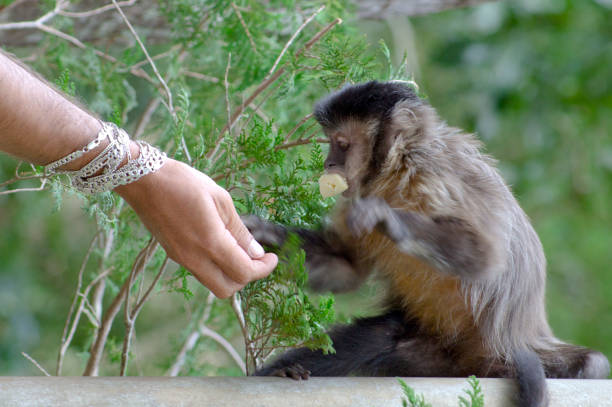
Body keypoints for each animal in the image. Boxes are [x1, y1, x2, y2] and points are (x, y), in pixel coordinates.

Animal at [241, 81, 608, 406]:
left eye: (341, 144)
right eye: (331, 143)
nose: (329, 163)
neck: (393, 176)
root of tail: (475, 362)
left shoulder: (432, 173)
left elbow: (486, 258)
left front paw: (386, 218)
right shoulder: (355, 195)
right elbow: (346, 268)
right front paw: (264, 235)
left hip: (501, 353)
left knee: (593, 365)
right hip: (433, 356)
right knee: (378, 340)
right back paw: (286, 371)